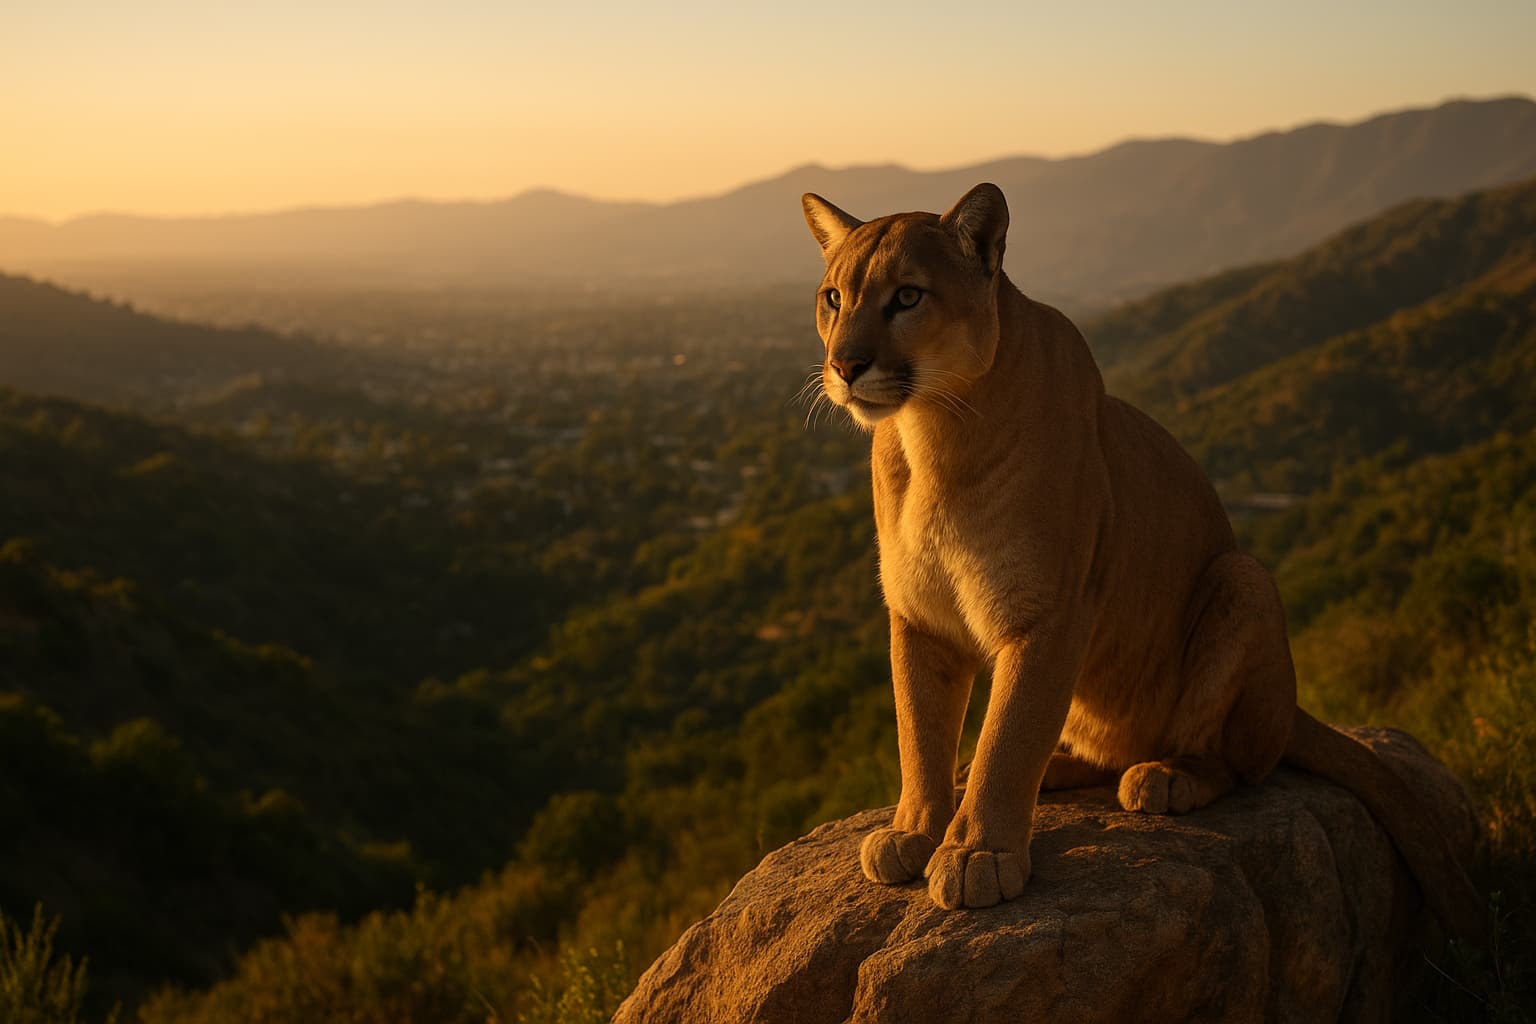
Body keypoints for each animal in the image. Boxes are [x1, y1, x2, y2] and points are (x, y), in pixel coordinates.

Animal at [799, 182, 1480, 937]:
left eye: (909, 297)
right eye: (834, 298)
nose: (845, 366)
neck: (930, 431)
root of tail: (1294, 707)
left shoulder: (1047, 616)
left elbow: (1009, 734)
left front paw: (978, 854)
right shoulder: (920, 617)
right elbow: (919, 733)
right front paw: (917, 830)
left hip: (1242, 579)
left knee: (1235, 762)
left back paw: (1165, 777)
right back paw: (1043, 769)